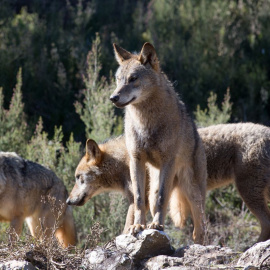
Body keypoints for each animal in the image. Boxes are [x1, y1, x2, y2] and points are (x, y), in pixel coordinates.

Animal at [67, 123, 270, 245]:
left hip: (248, 193)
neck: (123, 161)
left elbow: (126, 227)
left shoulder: (140, 201)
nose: (68, 201)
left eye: (78, 177)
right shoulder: (138, 201)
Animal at [109, 42, 207, 245]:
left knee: (199, 230)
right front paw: (138, 226)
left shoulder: (168, 161)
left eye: (133, 79)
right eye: (118, 79)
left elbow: (163, 198)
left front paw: (157, 226)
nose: (113, 98)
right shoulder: (136, 160)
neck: (145, 122)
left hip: (194, 195)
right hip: (155, 186)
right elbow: (139, 199)